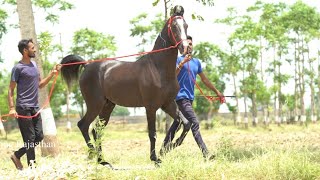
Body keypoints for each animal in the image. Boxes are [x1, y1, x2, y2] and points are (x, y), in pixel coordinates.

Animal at [60, 5, 188, 167]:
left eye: (186, 25)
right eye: (174, 26)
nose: (186, 47)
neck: (158, 69)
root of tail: (87, 65)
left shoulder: (168, 104)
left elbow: (184, 123)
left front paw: (167, 149)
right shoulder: (151, 107)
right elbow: (152, 133)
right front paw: (155, 158)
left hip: (107, 106)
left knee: (96, 130)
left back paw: (102, 160)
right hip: (95, 105)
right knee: (83, 125)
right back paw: (94, 155)